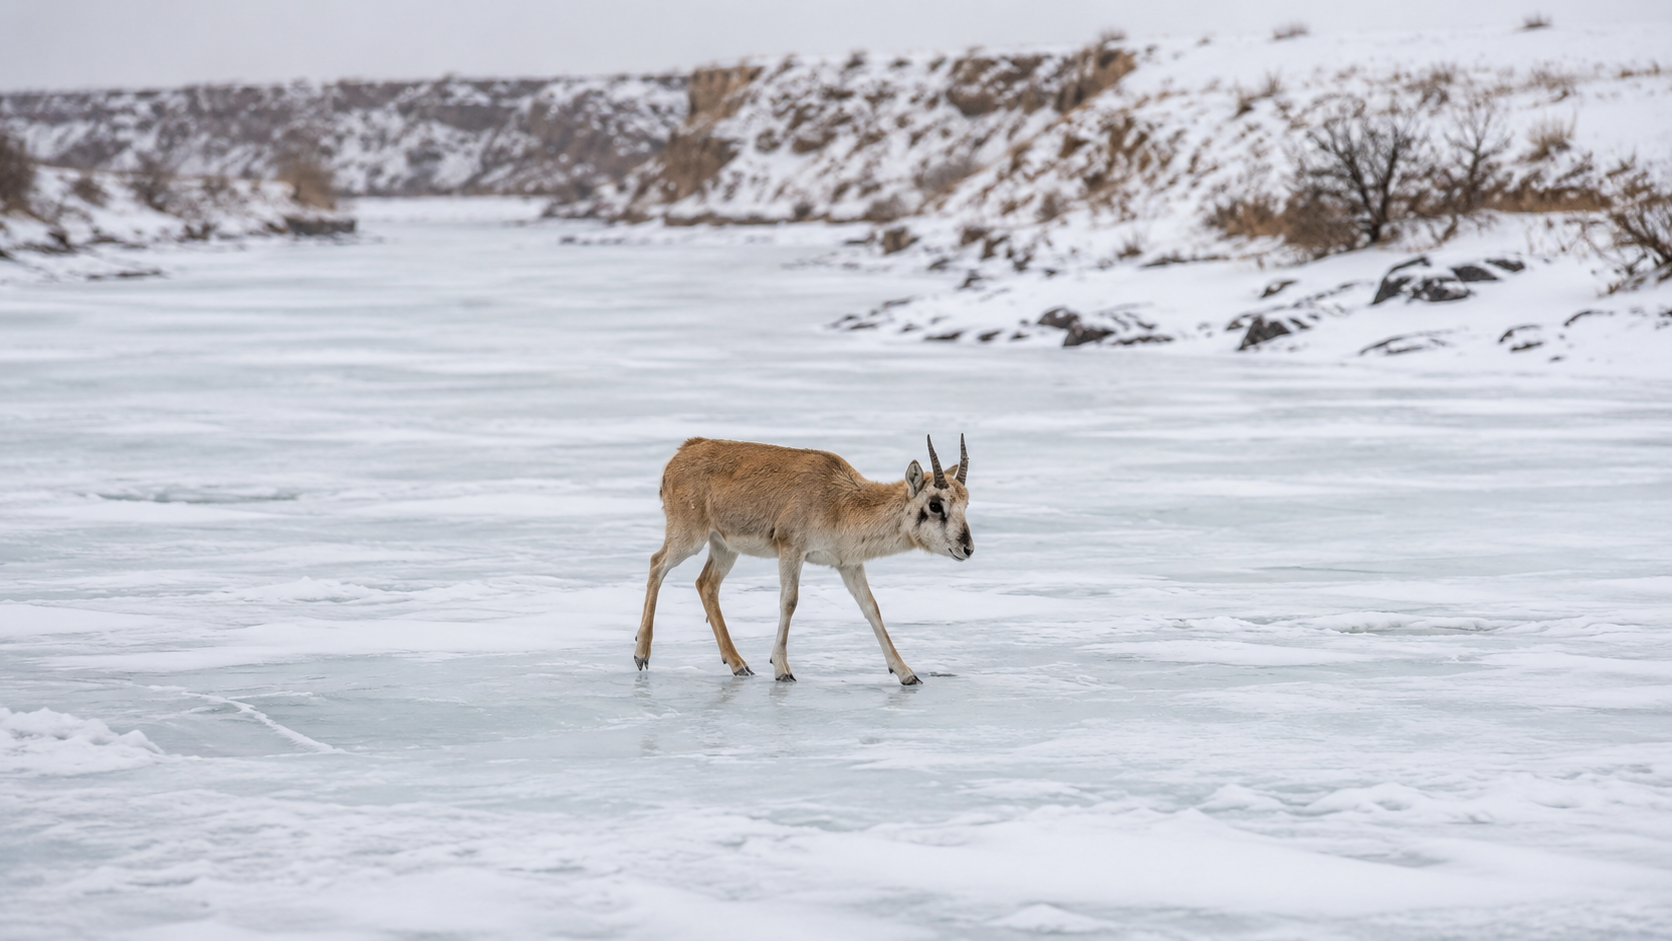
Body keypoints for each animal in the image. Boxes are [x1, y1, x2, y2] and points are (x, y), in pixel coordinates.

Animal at [635, 435, 974, 685]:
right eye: (935, 504)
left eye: (966, 502)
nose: (967, 548)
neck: (840, 501)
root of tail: (683, 451)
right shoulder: (791, 549)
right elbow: (789, 601)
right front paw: (782, 668)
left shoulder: (848, 564)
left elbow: (871, 608)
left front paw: (906, 673)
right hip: (689, 537)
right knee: (656, 563)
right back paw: (641, 653)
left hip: (724, 547)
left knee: (705, 584)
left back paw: (739, 664)